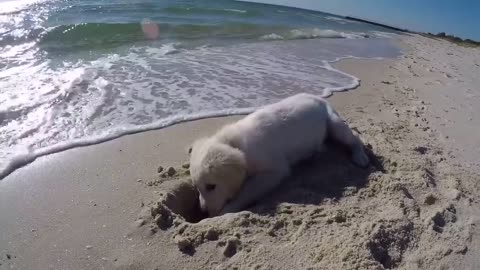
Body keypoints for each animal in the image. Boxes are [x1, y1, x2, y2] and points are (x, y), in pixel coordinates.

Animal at [189, 94, 370, 216]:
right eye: (197, 187)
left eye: (211, 186)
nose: (203, 212)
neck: (235, 143)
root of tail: (318, 97)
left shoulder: (275, 170)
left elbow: (246, 191)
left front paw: (225, 211)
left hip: (334, 123)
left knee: (355, 139)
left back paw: (360, 157)